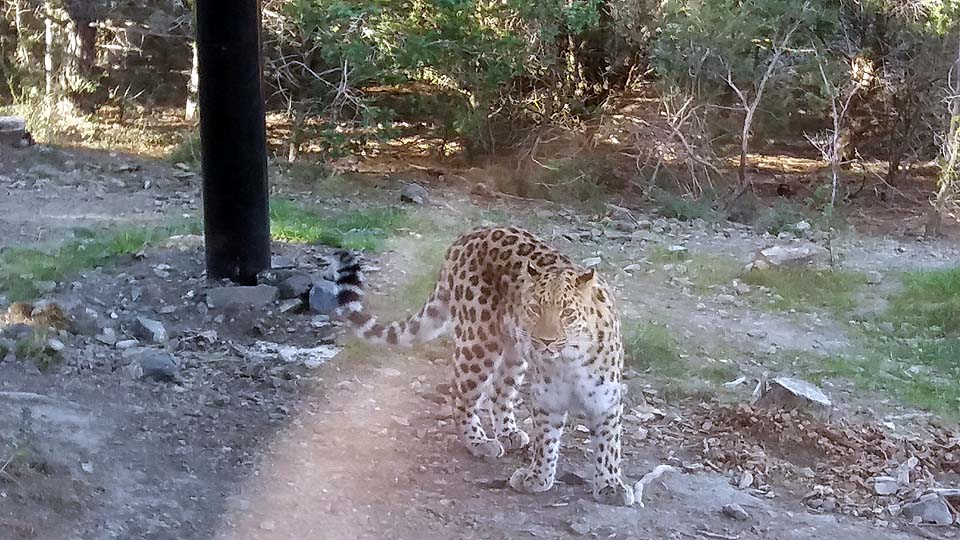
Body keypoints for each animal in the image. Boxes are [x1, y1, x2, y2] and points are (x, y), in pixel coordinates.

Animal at [330, 225, 636, 506]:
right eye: (535, 309)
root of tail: (470, 234)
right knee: (462, 397)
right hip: (478, 343)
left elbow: (608, 444)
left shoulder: (606, 399)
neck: (568, 361)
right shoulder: (547, 398)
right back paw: (480, 442)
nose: (545, 341)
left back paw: (509, 433)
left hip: (513, 353)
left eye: (568, 313)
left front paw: (611, 485)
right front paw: (538, 477)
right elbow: (546, 440)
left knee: (499, 392)